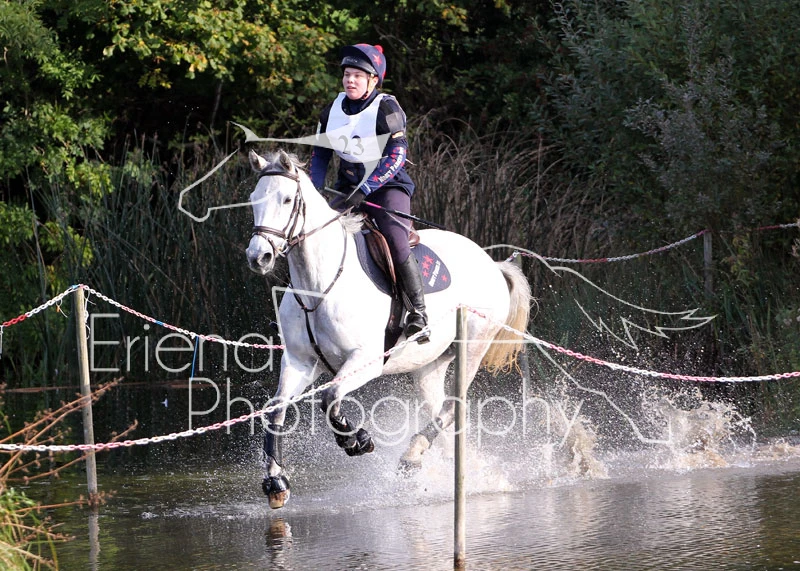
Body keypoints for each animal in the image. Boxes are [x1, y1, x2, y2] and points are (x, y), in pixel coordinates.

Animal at [245, 149, 532, 509]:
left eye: (286, 199)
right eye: (253, 199)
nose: (259, 256)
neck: (318, 286)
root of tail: (491, 263)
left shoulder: (365, 360)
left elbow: (330, 397)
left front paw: (357, 441)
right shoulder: (300, 362)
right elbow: (275, 409)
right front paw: (275, 482)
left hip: (474, 346)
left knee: (455, 403)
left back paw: (412, 457)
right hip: (430, 363)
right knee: (440, 404)